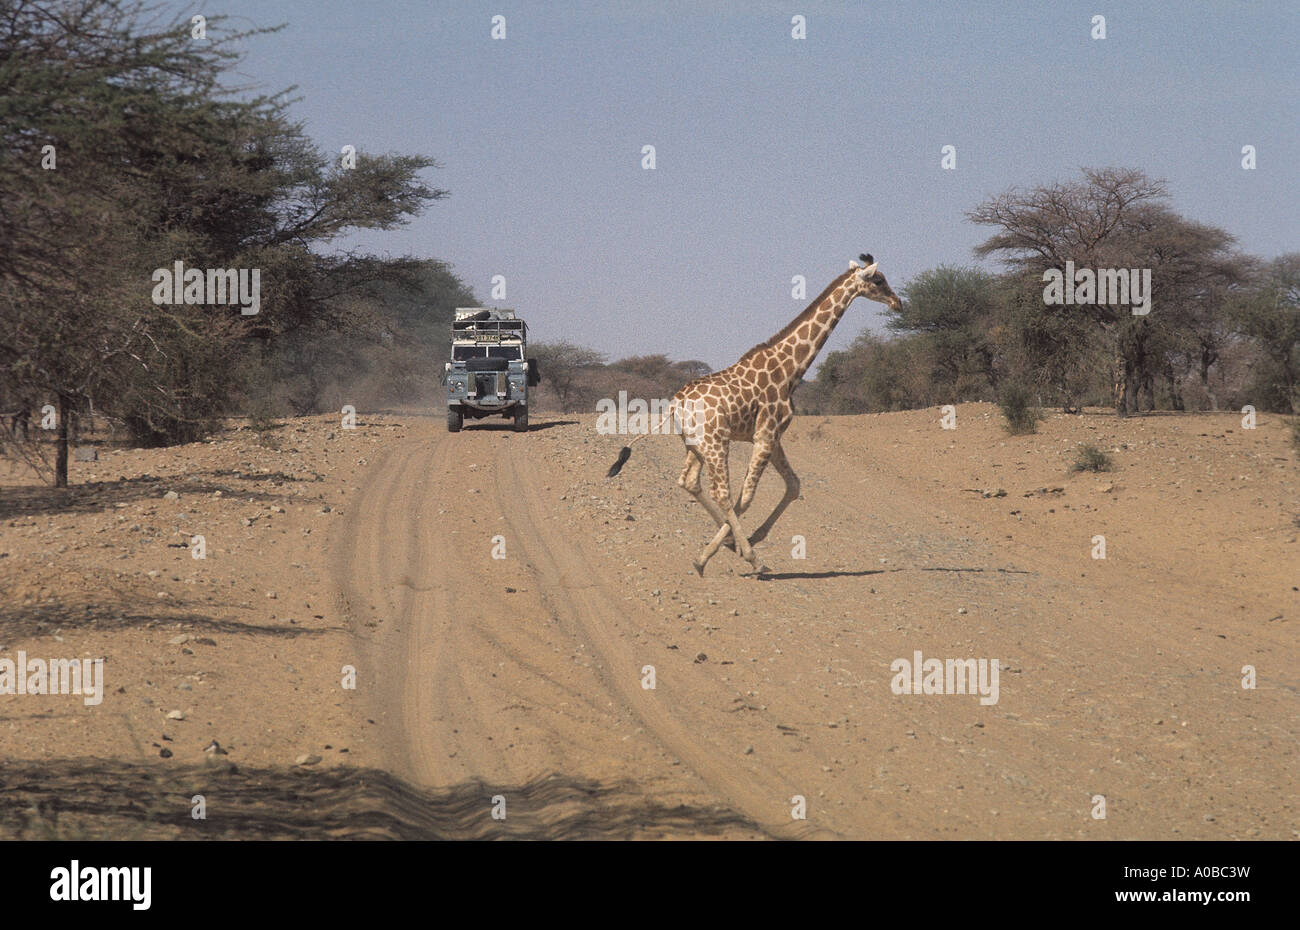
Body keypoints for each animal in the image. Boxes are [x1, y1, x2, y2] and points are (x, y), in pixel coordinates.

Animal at [603, 254, 899, 574]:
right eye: (879, 280)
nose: (898, 303)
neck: (790, 369)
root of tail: (675, 404)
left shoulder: (774, 436)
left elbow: (793, 485)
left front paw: (741, 540)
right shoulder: (765, 435)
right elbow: (747, 496)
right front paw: (743, 551)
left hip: (695, 445)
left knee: (688, 481)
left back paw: (729, 542)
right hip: (716, 442)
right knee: (723, 493)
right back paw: (740, 557)